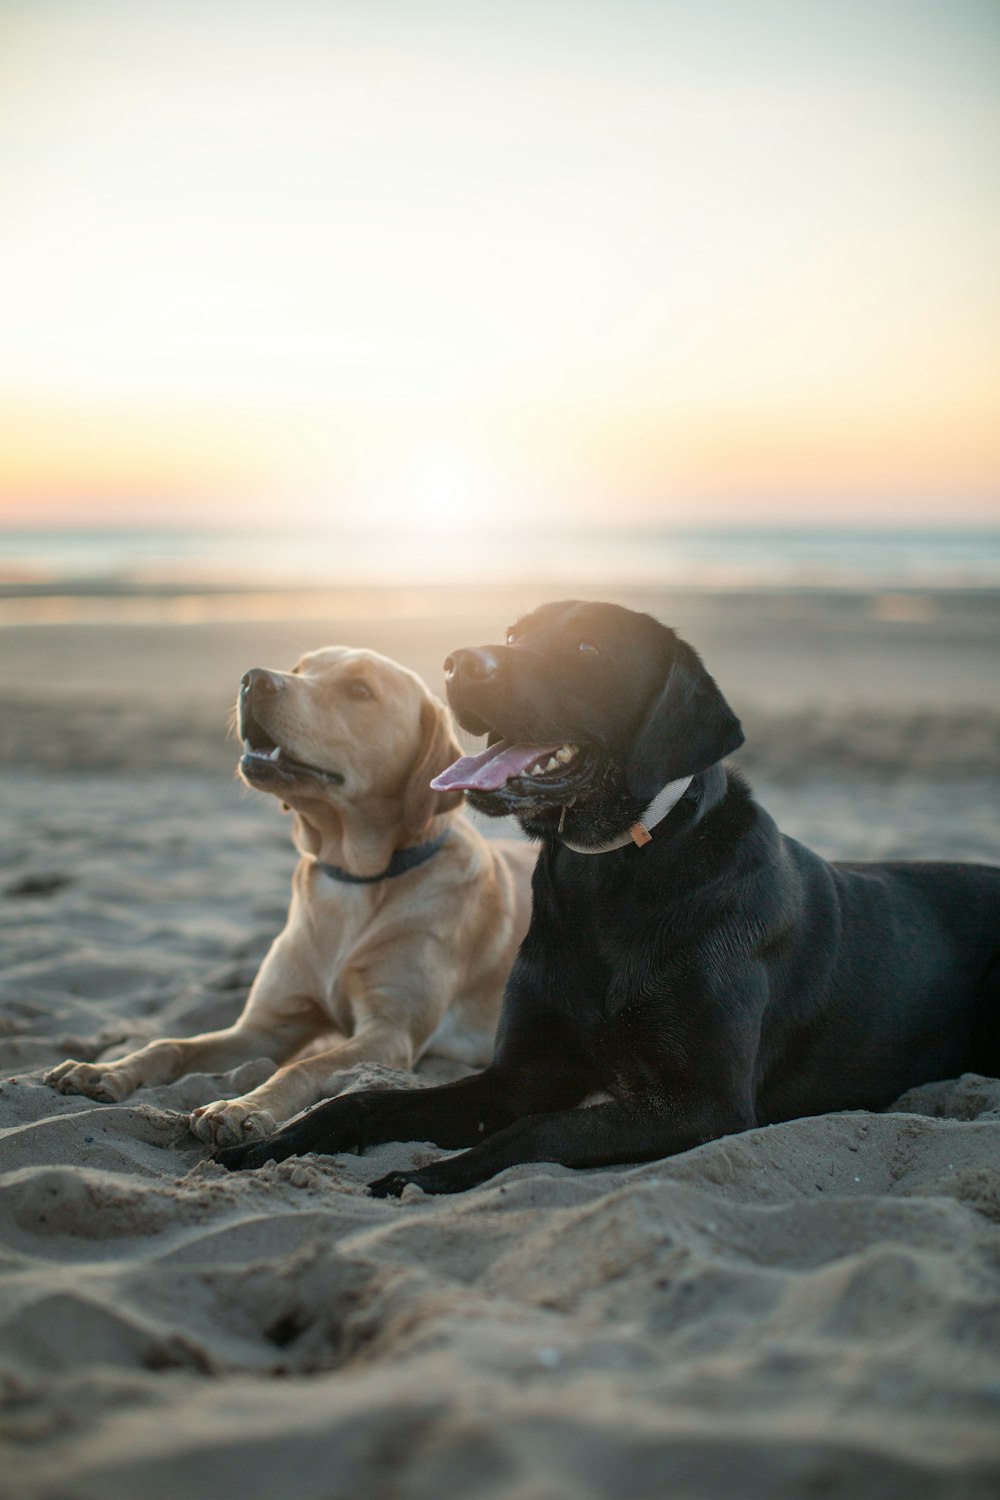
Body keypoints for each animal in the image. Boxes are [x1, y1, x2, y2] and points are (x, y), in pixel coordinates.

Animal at [220, 597, 1000, 1194]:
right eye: (513, 636)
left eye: (588, 649)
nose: (458, 663)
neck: (609, 875)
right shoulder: (518, 1073)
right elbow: (364, 1099)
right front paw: (266, 1141)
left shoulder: (707, 1104)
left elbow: (540, 1128)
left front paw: (426, 1175)